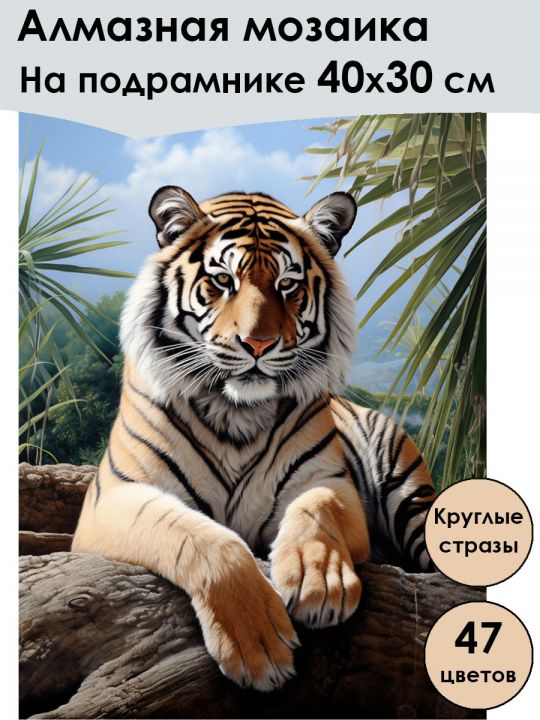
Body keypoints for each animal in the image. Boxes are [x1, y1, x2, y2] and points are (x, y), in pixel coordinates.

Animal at [73, 186, 436, 692]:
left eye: (287, 285)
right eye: (222, 280)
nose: (258, 344)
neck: (236, 412)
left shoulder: (329, 480)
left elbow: (316, 509)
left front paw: (319, 582)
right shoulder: (115, 498)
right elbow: (200, 536)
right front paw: (258, 645)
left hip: (411, 497)